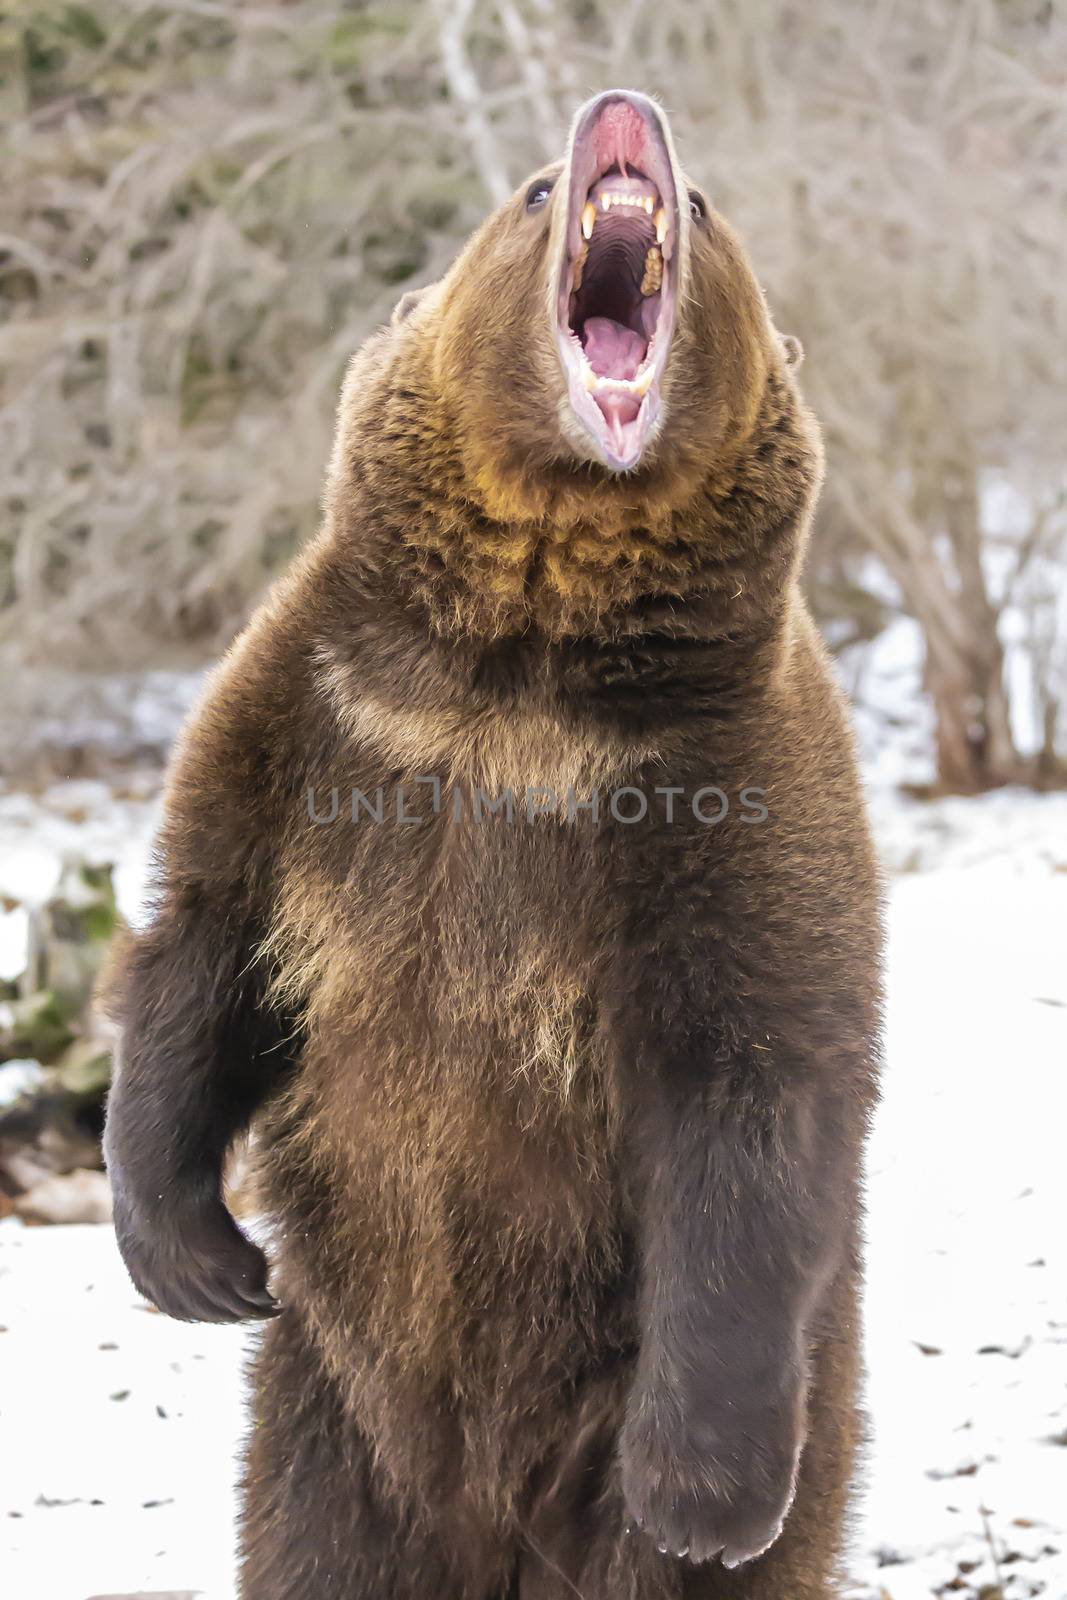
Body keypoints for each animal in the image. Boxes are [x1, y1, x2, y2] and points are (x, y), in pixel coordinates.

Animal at [103, 90, 883, 1600]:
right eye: (529, 192)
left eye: (705, 210)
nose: (623, 114)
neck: (515, 672)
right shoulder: (320, 720)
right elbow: (207, 942)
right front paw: (197, 1260)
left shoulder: (719, 782)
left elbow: (755, 1079)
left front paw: (700, 1486)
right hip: (327, 1417)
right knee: (314, 1545)